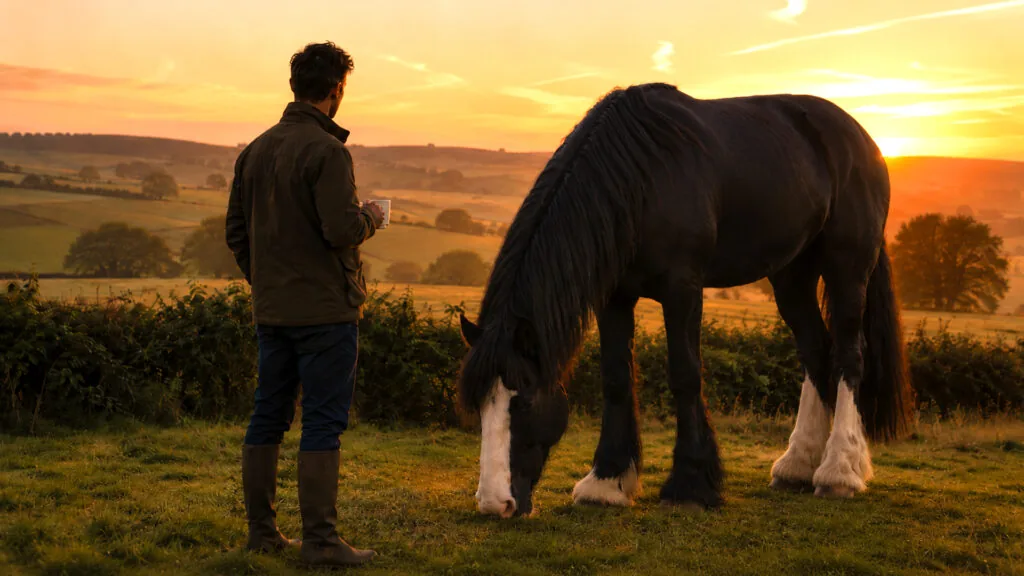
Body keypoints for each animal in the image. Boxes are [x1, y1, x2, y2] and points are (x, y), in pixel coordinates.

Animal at [457, 82, 915, 517]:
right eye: (479, 404)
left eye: (523, 400)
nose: (496, 503)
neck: (638, 180)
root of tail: (863, 139)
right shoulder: (614, 297)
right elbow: (615, 378)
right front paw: (606, 483)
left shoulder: (682, 289)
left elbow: (685, 373)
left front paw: (691, 485)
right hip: (791, 276)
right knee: (816, 353)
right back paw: (797, 466)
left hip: (848, 267)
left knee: (848, 356)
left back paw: (839, 472)